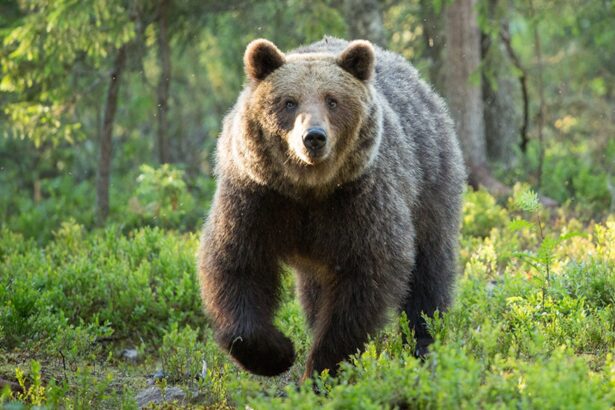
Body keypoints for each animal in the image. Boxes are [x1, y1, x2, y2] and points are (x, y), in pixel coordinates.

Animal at [200, 36, 464, 380]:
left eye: (333, 100)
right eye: (289, 102)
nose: (313, 137)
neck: (308, 189)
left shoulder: (359, 201)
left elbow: (364, 281)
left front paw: (322, 368)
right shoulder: (257, 197)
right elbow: (236, 264)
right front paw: (277, 352)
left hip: (429, 183)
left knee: (429, 270)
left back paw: (425, 342)